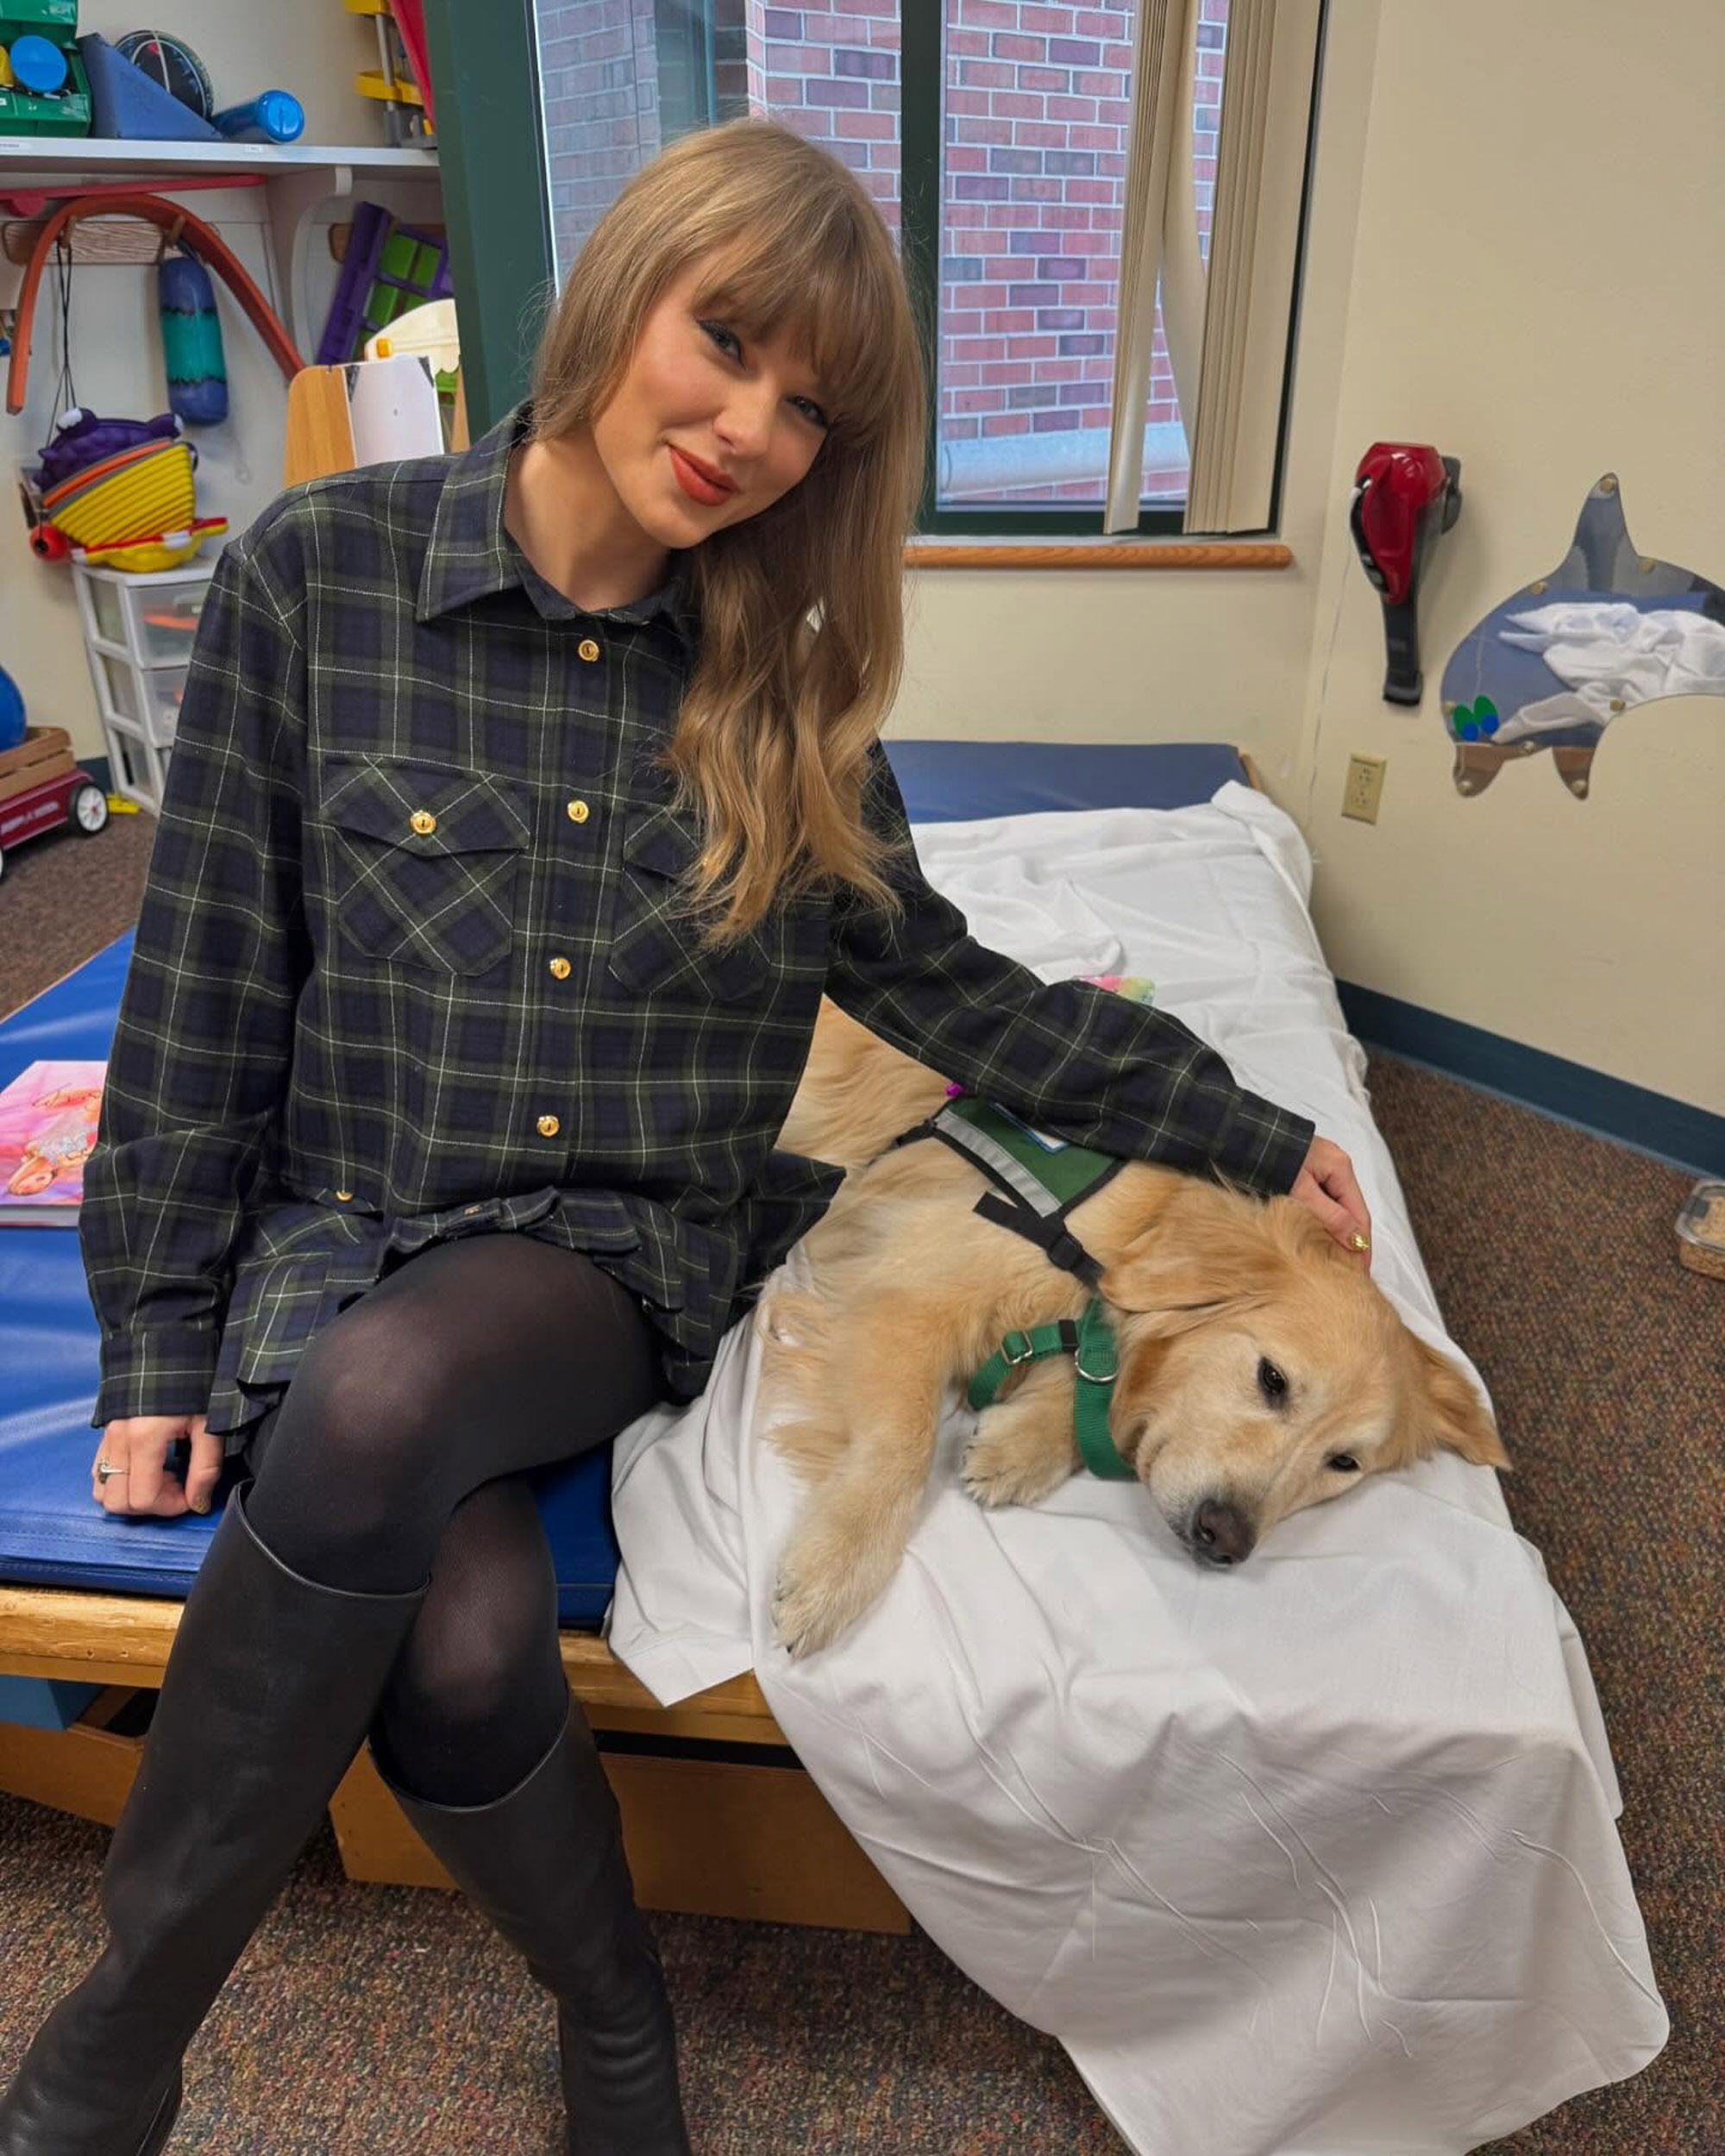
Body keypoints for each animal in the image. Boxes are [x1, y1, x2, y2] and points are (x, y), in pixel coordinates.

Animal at [763, 1000, 1501, 1656]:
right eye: (1272, 1379)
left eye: (1344, 1463)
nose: (1224, 1538)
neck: (1129, 1239)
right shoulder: (909, 1292)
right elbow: (903, 1442)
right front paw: (835, 1570)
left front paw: (1020, 1445)